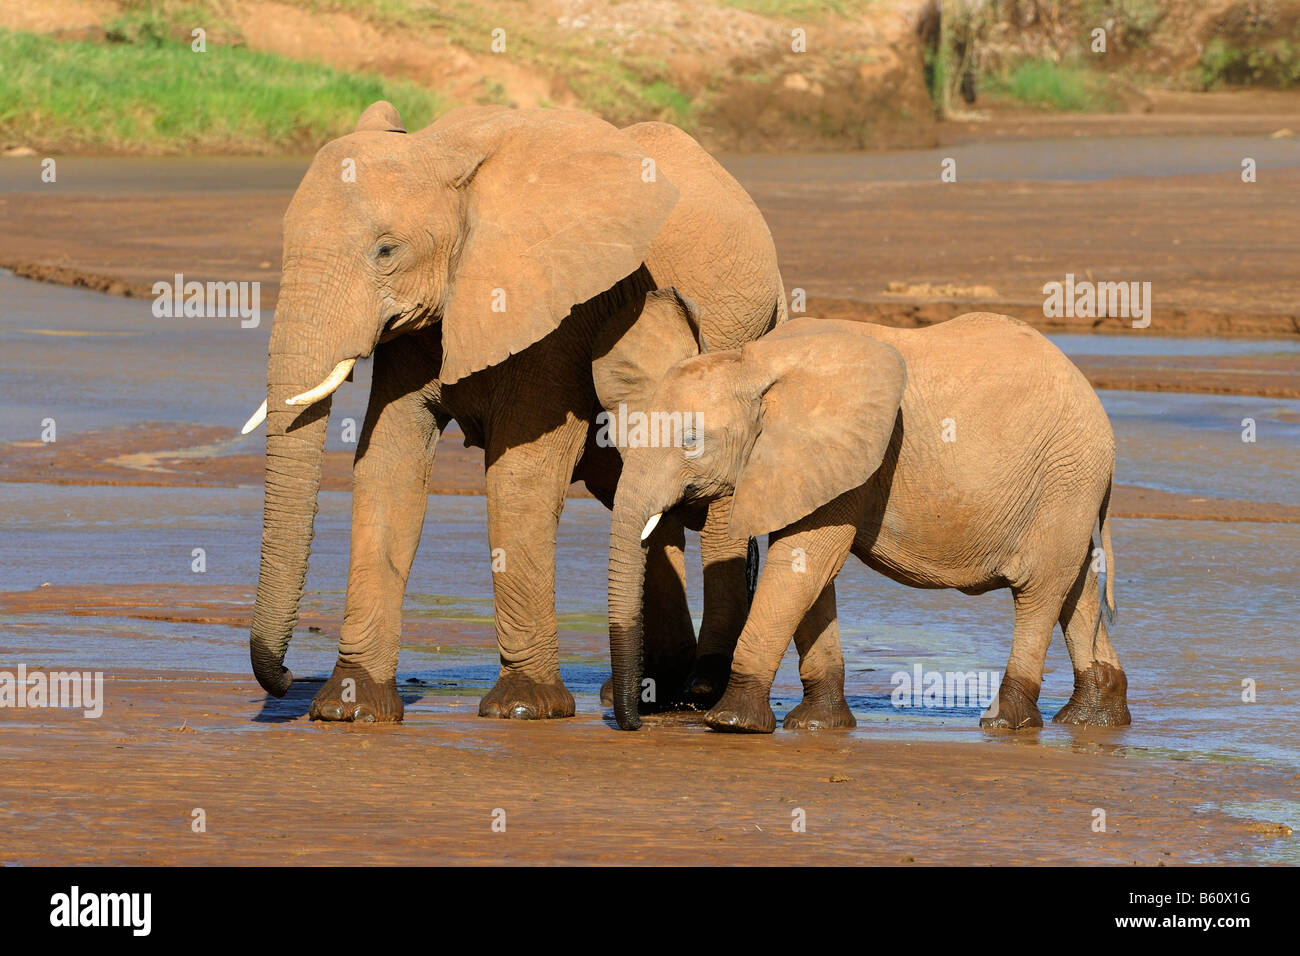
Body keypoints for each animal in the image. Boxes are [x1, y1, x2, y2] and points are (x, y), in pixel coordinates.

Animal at [241, 100, 780, 723]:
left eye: (386, 251)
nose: (284, 679)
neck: (439, 152)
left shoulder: (558, 310)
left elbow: (519, 473)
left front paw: (523, 706)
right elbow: (389, 461)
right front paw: (349, 708)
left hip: (743, 332)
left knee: (716, 506)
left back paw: (701, 689)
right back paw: (654, 691)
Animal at [595, 299, 1128, 733]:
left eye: (691, 441)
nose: (633, 721)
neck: (754, 363)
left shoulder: (849, 459)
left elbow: (804, 562)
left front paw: (731, 723)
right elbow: (810, 573)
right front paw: (817, 724)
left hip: (1065, 476)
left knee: (1039, 590)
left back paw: (1005, 722)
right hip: (1067, 485)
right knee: (1075, 589)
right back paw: (1092, 719)